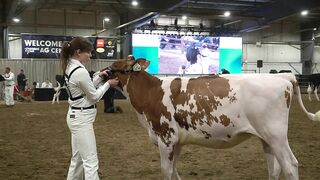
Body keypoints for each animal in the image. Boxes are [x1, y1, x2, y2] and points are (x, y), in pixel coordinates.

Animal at [104, 58, 318, 179]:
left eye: (114, 66)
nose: (102, 72)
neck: (151, 93)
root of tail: (284, 78)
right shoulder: (177, 142)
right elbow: (174, 171)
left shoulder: (166, 138)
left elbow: (166, 171)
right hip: (266, 138)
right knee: (274, 169)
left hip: (276, 134)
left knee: (290, 166)